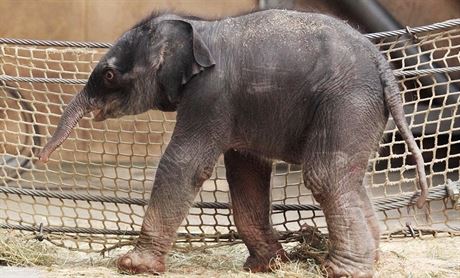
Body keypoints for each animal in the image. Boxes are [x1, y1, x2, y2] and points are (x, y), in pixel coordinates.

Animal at [38, 9, 428, 276]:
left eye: (108, 74)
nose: (41, 158)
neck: (197, 27)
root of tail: (383, 64)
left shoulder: (211, 94)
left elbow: (185, 164)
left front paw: (133, 265)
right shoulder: (238, 106)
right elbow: (246, 173)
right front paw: (266, 265)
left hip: (347, 102)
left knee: (326, 175)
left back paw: (342, 271)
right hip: (362, 110)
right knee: (350, 178)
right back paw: (369, 260)